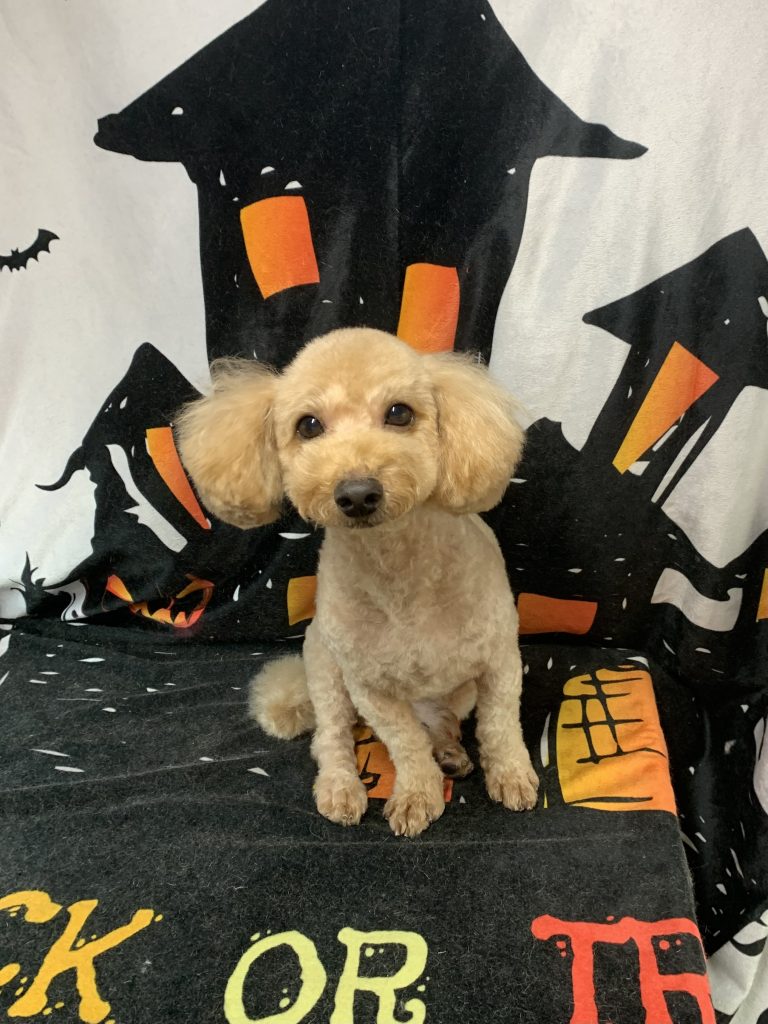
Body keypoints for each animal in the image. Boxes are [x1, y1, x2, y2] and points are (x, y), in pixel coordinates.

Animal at [176, 327, 538, 836]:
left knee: (443, 721)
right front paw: (417, 794)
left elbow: (500, 725)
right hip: (325, 670)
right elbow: (405, 744)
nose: (357, 493)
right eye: (308, 425)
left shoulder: (500, 659)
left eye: (399, 413)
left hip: (457, 692)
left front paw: (511, 775)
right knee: (331, 737)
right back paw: (342, 786)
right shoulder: (369, 687)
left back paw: (449, 752)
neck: (400, 568)